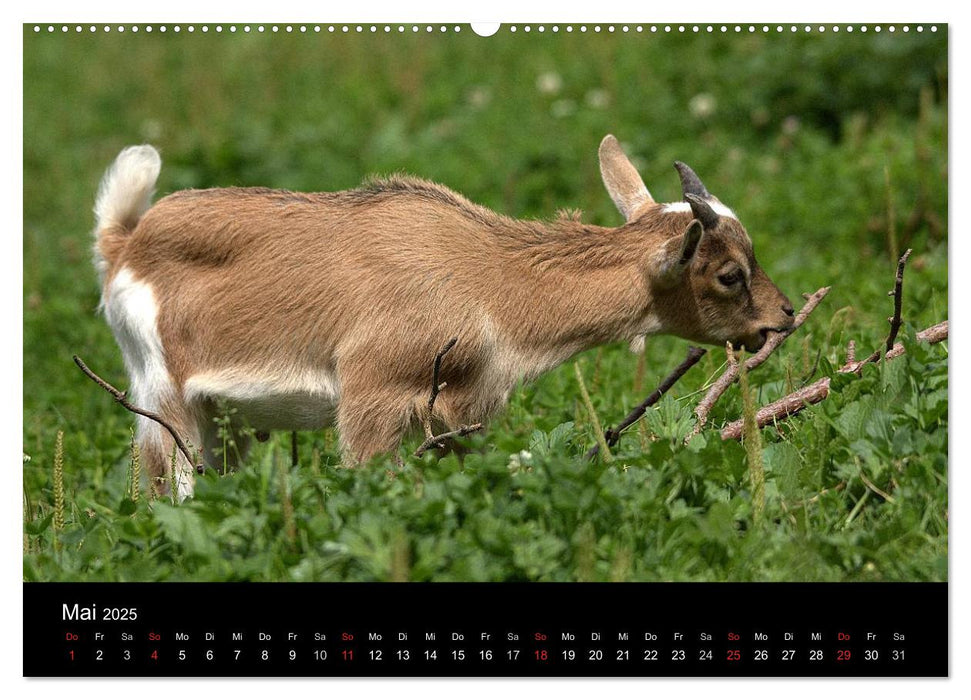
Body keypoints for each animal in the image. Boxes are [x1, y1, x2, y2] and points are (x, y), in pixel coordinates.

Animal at [91, 137, 792, 498]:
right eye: (729, 273)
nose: (783, 316)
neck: (487, 280)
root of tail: (124, 240)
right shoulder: (370, 397)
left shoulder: (465, 410)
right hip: (161, 399)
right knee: (162, 488)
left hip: (225, 418)